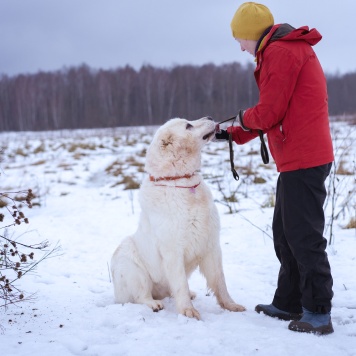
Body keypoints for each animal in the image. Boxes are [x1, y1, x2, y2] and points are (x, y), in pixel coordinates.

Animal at [110, 117, 245, 320]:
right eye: (188, 125)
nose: (210, 118)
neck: (181, 180)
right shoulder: (173, 251)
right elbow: (181, 284)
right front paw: (188, 311)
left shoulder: (211, 246)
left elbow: (220, 281)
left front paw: (231, 305)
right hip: (131, 264)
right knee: (141, 295)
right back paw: (154, 304)